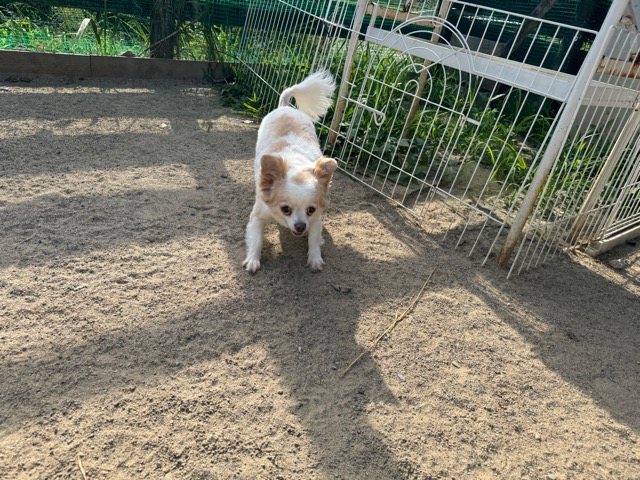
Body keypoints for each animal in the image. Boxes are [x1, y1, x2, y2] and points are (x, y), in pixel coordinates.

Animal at [243, 71, 338, 273]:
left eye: (311, 209)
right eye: (285, 209)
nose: (301, 226)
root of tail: (286, 107)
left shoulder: (316, 220)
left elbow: (314, 240)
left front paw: (315, 259)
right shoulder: (258, 216)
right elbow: (256, 239)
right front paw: (253, 260)